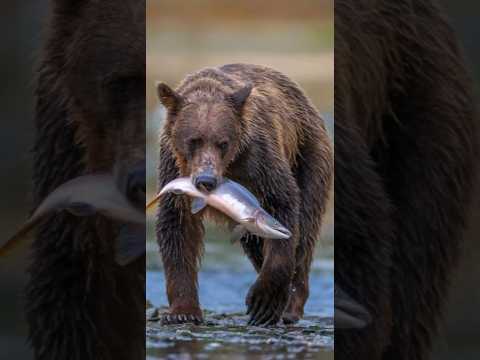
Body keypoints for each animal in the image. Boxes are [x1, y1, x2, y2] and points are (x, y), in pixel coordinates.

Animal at [155, 63, 334, 328]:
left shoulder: (259, 159)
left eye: (223, 142)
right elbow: (177, 226)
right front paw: (182, 311)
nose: (206, 180)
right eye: (193, 140)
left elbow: (282, 204)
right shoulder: (173, 169)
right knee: (255, 244)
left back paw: (290, 306)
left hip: (308, 153)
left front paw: (264, 302)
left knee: (305, 230)